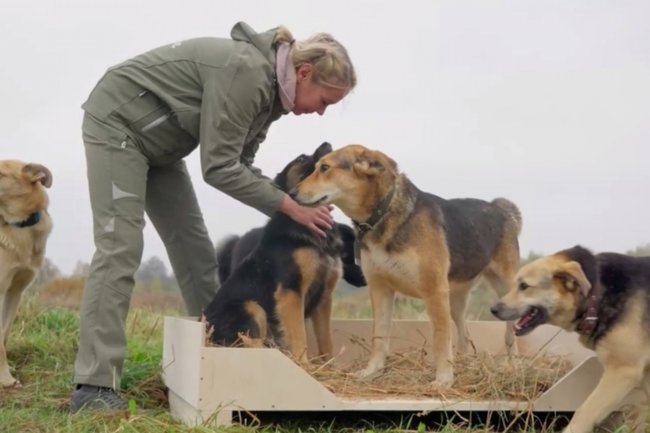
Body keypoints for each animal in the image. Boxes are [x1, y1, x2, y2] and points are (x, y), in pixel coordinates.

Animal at [292, 144, 520, 384]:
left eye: (324, 168)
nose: (292, 194)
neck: (383, 213)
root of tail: (502, 209)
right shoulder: (380, 289)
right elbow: (379, 337)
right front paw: (373, 371)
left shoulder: (434, 291)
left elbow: (441, 338)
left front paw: (443, 380)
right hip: (455, 299)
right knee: (465, 335)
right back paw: (465, 365)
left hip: (504, 289)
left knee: (510, 332)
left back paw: (513, 367)